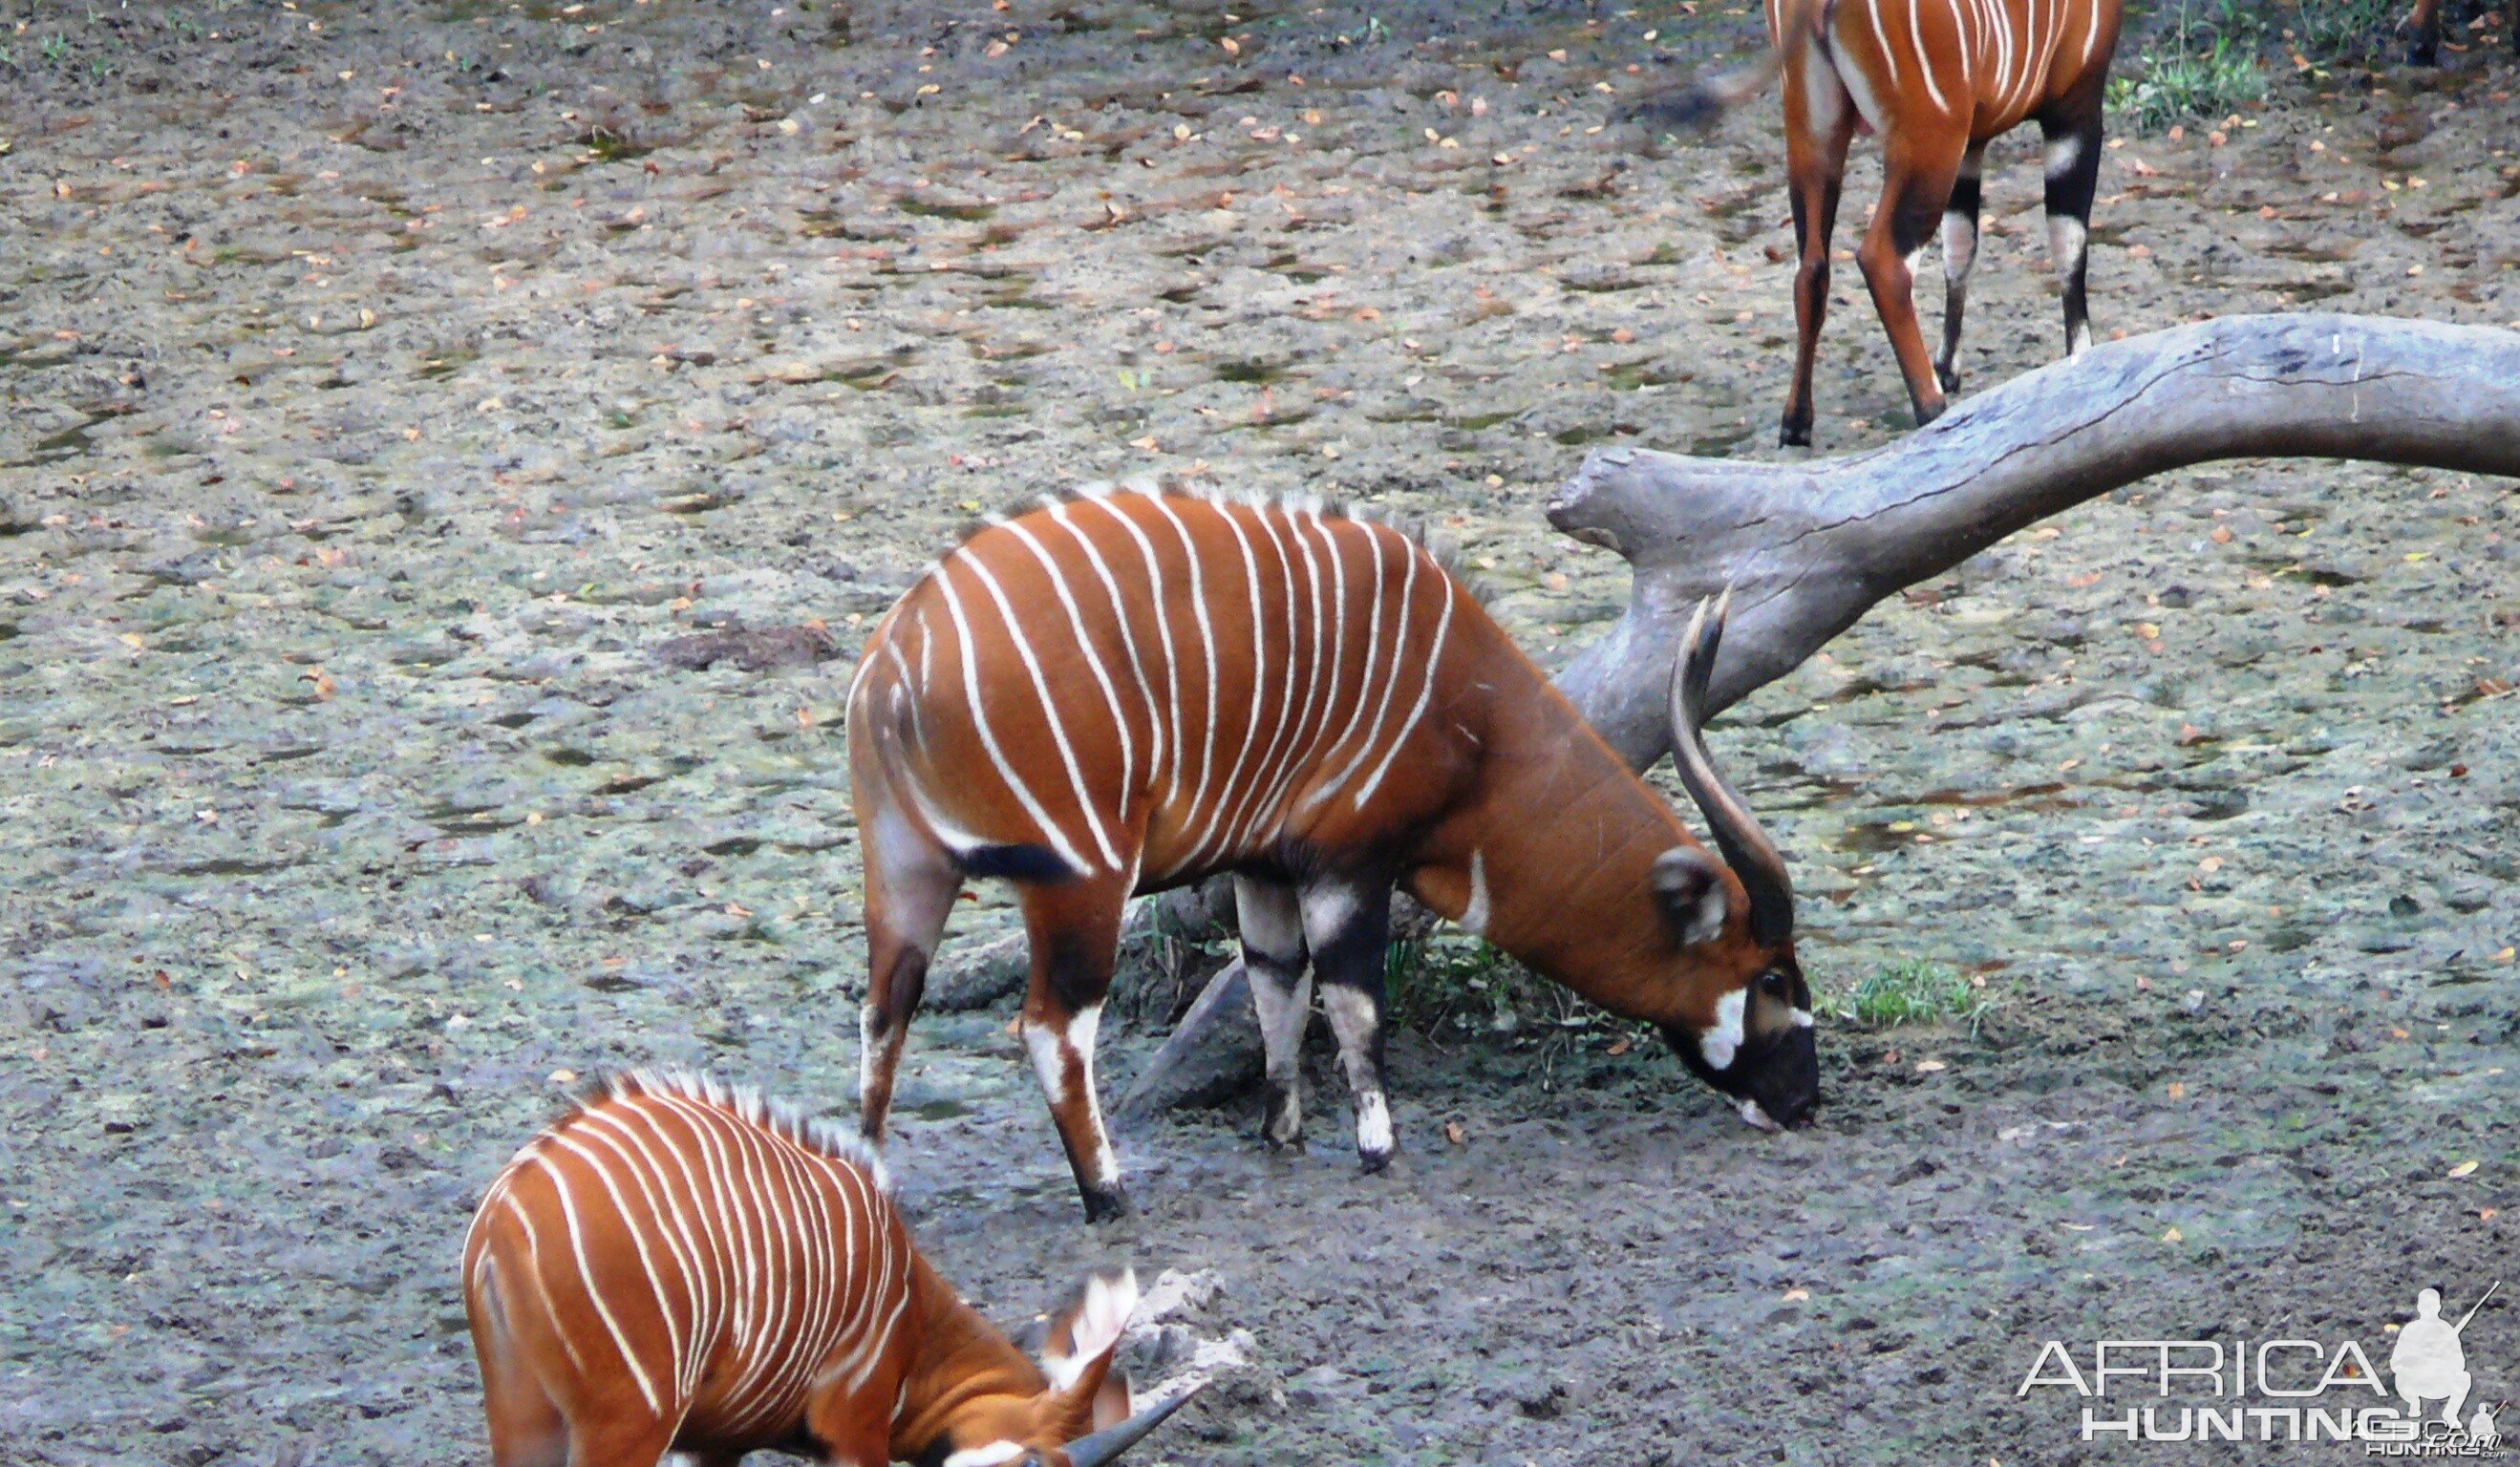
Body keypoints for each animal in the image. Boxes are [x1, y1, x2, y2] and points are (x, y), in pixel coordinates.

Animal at [463, 1069, 1199, 1467]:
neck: (910, 1311)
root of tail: (502, 1220)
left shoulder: (716, 1442)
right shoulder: (854, 1422)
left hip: (524, 1413)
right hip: (628, 1419)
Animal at [846, 486, 1814, 1229]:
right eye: (1770, 977)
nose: (1805, 1103)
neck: (1476, 718)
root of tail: (896, 663)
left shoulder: (1265, 868)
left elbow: (1278, 989)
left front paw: (1283, 1135)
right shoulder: (1348, 861)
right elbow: (1354, 1002)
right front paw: (1380, 1147)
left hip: (909, 875)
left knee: (885, 1010)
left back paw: (876, 1188)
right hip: (1082, 881)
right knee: (1051, 1026)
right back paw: (1109, 1195)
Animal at [1642, 0, 2116, 443]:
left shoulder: (1975, 141)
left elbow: (1961, 248)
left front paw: (1948, 368)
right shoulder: (2074, 109)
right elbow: (2068, 248)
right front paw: (2081, 361)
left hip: (1813, 130)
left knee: (1811, 268)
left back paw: (1797, 423)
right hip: (1928, 138)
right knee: (1882, 260)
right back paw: (1931, 408)